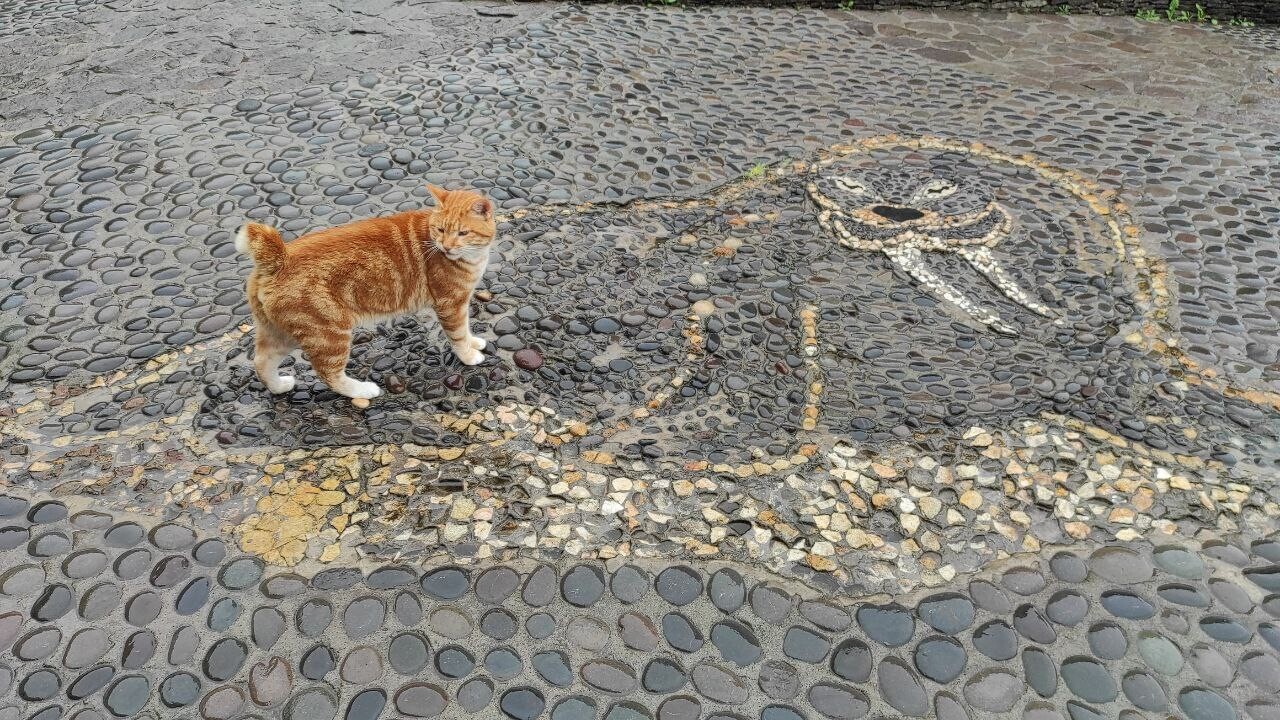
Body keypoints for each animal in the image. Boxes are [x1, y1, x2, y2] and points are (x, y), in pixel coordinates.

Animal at [235, 183, 494, 397]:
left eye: (462, 233)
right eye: (440, 230)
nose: (446, 247)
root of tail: (280, 258)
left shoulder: (461, 302)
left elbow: (466, 328)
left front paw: (473, 342)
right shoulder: (450, 304)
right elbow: (458, 335)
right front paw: (469, 355)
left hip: (281, 332)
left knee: (261, 361)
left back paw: (278, 387)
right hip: (329, 334)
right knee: (329, 374)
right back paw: (362, 390)